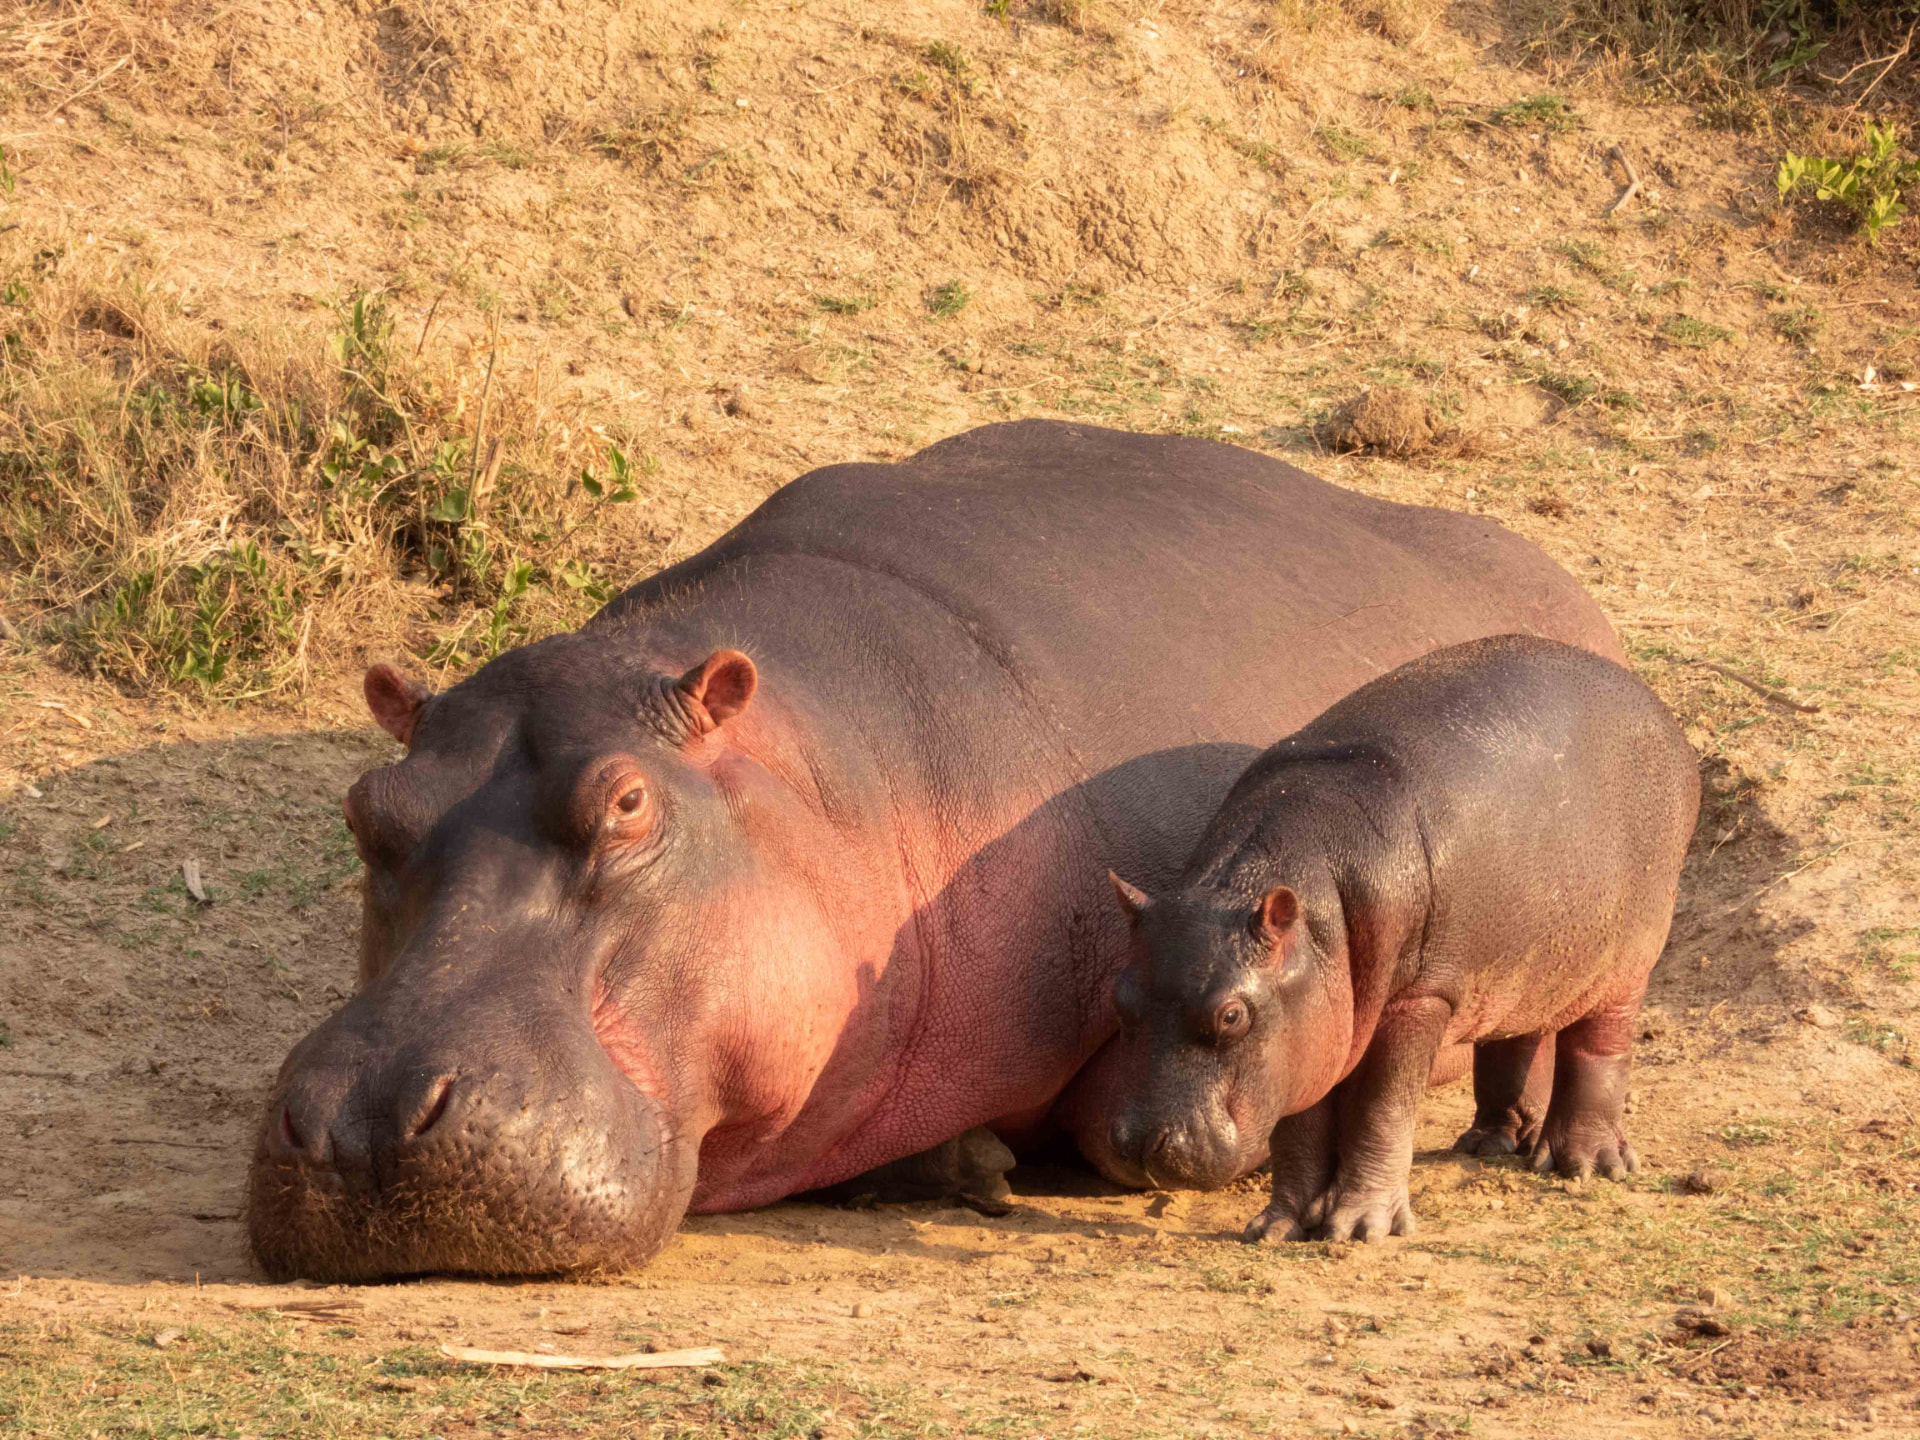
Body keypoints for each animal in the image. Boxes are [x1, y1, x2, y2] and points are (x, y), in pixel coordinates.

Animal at [1100, 634, 1699, 1243]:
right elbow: (1300, 1126)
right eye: (1118, 1000)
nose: (1142, 1145)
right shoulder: (1315, 1029)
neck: (1312, 912)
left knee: (1599, 1046)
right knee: (1515, 1037)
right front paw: (1276, 1226)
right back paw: (1492, 1143)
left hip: (1629, 962)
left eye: (1230, 1016)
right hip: (1524, 958)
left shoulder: (1419, 998)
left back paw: (1586, 1164)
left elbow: (1382, 1109)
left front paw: (1361, 1227)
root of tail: (1652, 704)